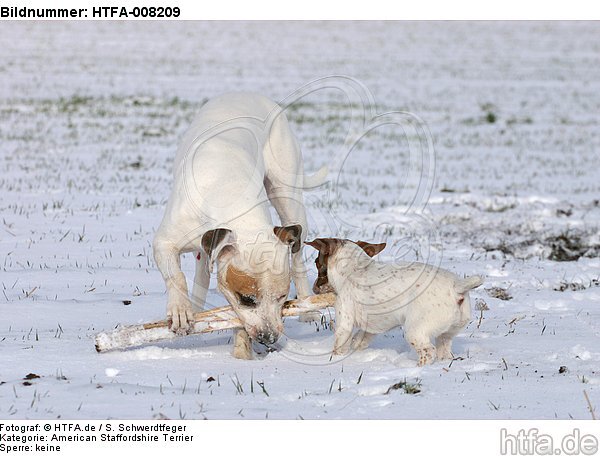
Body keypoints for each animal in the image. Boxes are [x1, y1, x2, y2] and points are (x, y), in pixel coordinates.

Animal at [155, 91, 324, 360]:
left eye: (281, 296)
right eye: (247, 299)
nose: (269, 337)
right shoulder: (165, 241)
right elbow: (176, 275)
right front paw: (181, 310)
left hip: (288, 196)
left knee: (297, 257)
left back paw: (308, 309)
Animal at [308, 237, 486, 366]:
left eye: (317, 263)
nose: (314, 287)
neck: (354, 268)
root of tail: (457, 287)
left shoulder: (344, 321)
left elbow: (339, 345)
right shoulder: (371, 326)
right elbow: (360, 339)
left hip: (414, 331)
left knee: (428, 352)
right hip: (447, 334)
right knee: (444, 352)